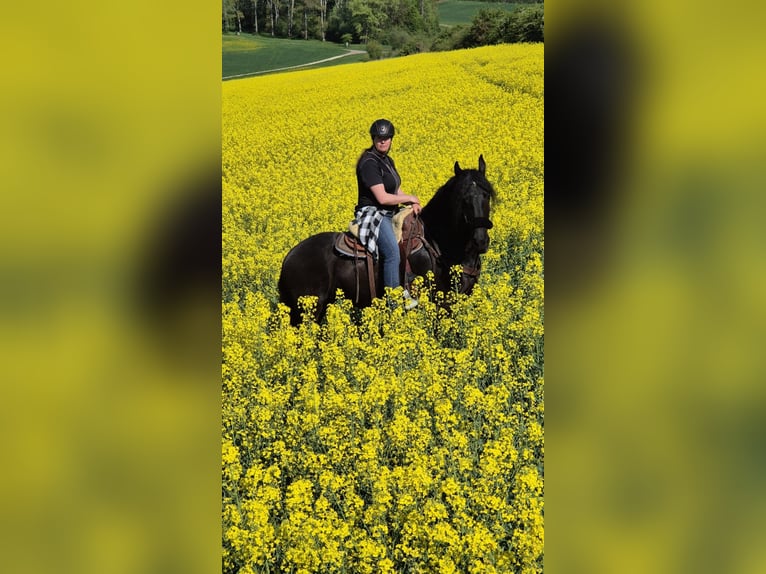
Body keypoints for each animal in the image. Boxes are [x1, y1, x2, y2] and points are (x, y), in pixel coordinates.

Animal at [278, 155, 496, 325]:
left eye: (487, 195)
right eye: (463, 199)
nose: (480, 242)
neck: (440, 243)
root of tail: (289, 257)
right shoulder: (442, 303)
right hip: (308, 309)